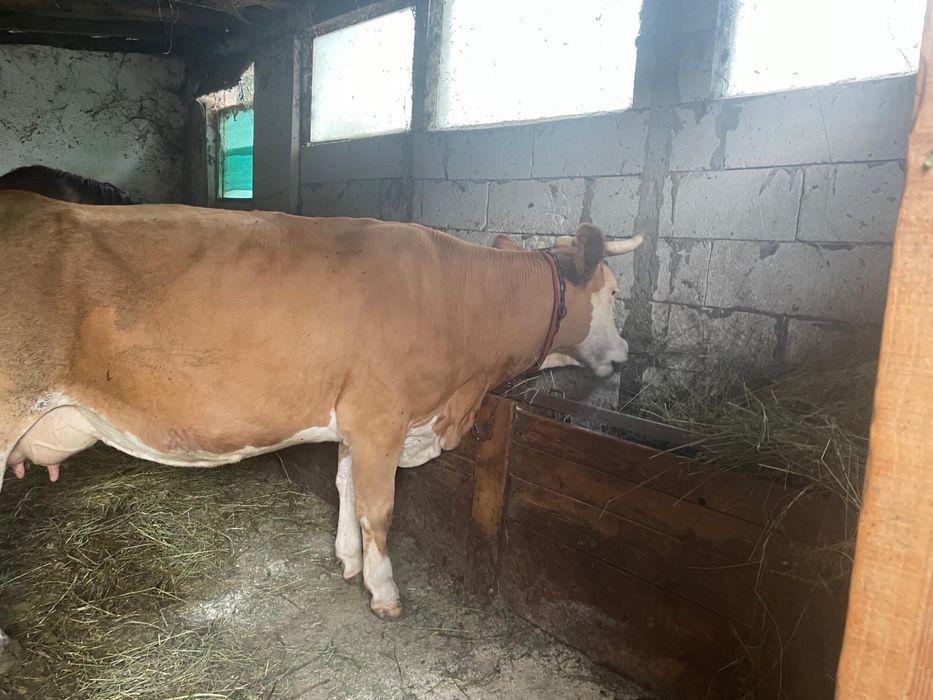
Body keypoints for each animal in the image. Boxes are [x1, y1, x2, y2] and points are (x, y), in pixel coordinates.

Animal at [0, 191, 642, 650]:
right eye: (613, 292)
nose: (625, 355)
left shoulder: (355, 418)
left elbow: (345, 487)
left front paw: (349, 561)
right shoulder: (382, 415)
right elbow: (379, 507)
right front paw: (385, 593)